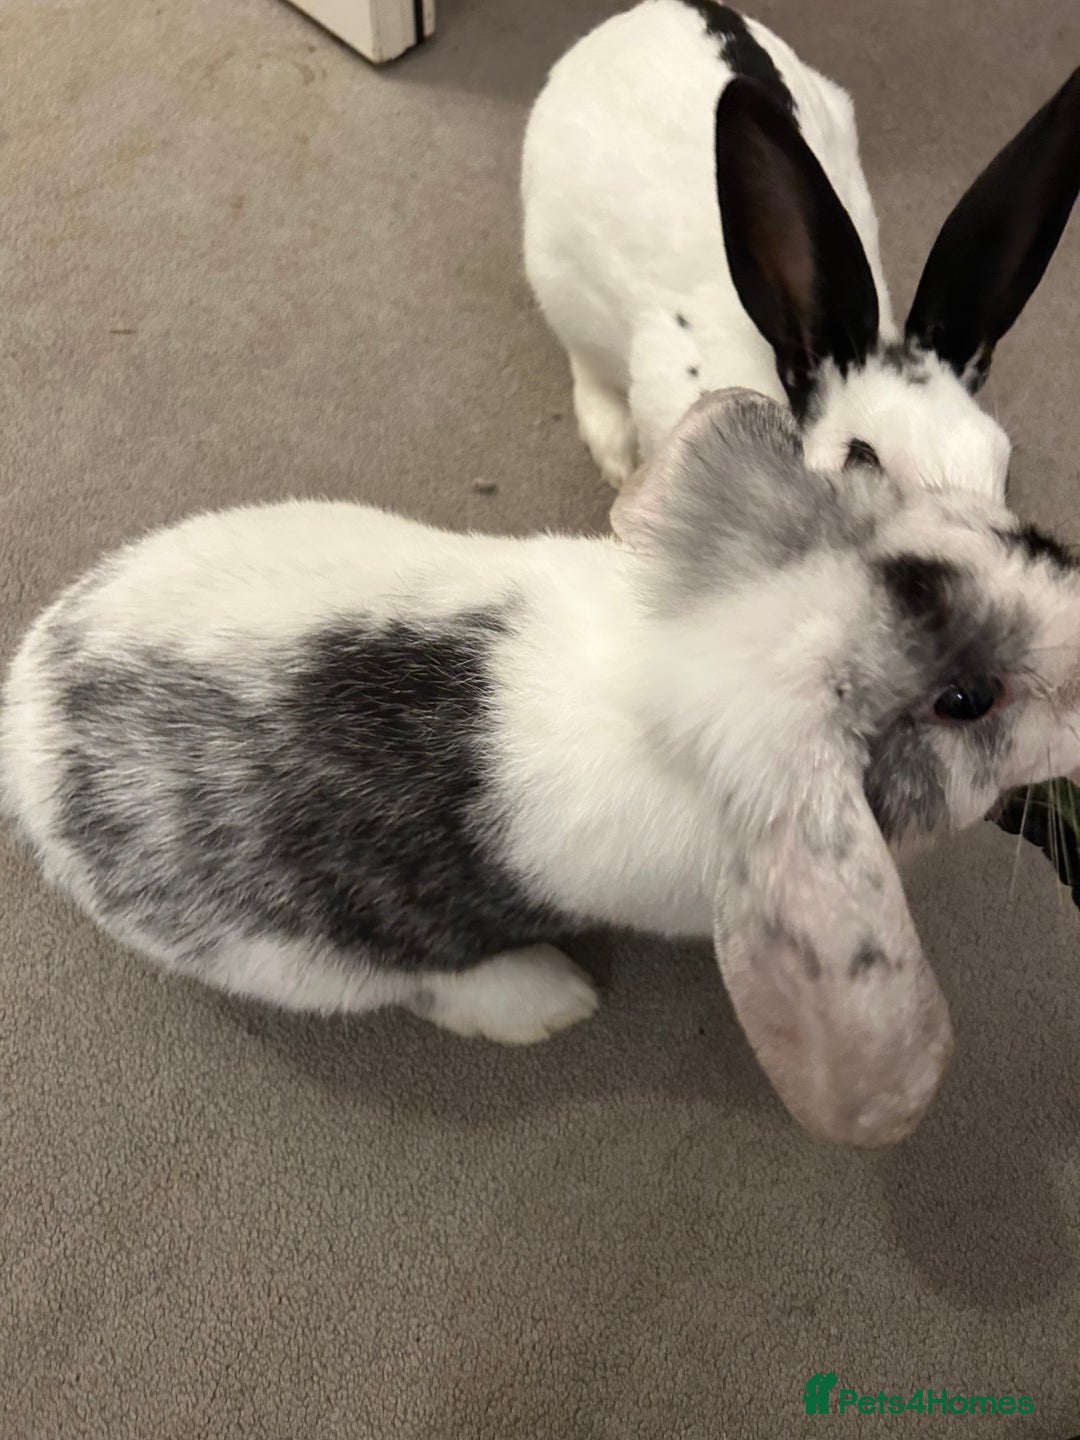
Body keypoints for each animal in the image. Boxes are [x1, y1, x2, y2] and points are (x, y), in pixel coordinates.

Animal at [6, 389, 1080, 1147]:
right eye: (965, 700)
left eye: (1020, 536)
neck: (679, 666)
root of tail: (31, 733)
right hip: (307, 962)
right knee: (425, 987)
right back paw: (549, 1002)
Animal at [522, 1, 1080, 499]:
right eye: (862, 459)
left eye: (1003, 465)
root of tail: (647, 12)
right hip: (559, 282)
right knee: (586, 364)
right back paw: (613, 451)